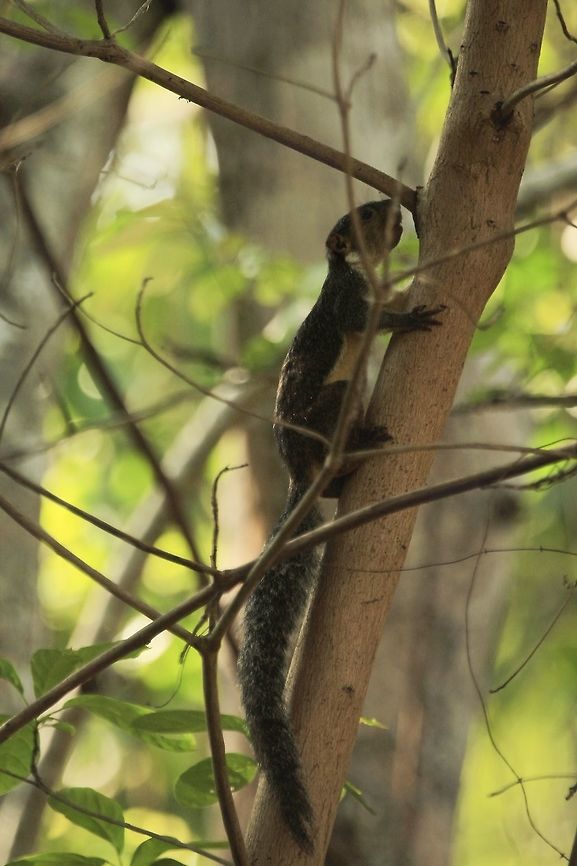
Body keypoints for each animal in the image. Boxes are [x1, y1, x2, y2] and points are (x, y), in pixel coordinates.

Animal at [237, 199, 444, 852]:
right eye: (369, 212)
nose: (399, 207)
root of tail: (302, 475)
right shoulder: (347, 300)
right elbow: (365, 319)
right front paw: (411, 315)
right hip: (332, 400)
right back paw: (358, 451)